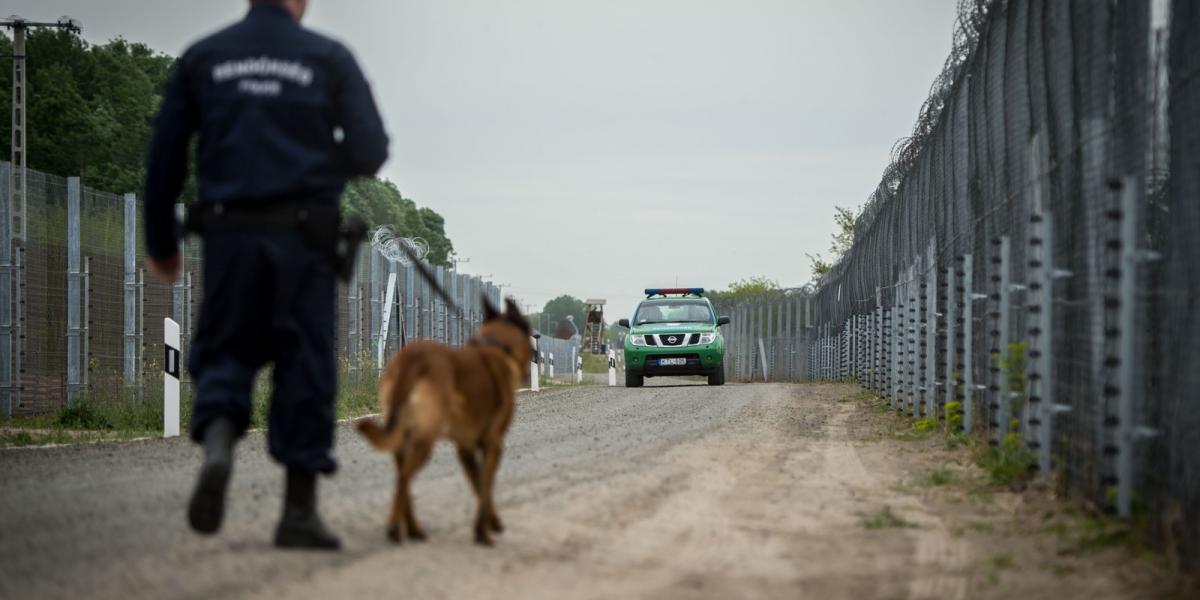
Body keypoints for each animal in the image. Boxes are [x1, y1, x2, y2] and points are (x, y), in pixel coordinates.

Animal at [350, 295, 530, 544]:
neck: (496, 348)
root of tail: (413, 358)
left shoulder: (465, 448)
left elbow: (478, 486)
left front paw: (489, 522)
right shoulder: (493, 445)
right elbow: (485, 486)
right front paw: (484, 531)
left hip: (403, 439)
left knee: (402, 478)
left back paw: (413, 529)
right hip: (425, 438)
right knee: (404, 478)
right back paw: (395, 528)